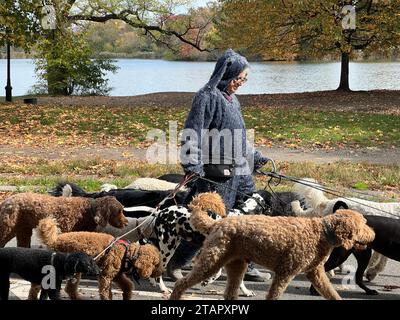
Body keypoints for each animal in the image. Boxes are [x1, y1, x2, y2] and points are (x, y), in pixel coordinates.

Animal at [170, 192, 376, 300]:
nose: (373, 235)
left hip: (236, 265)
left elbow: (331, 293)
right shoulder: (285, 273)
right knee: (182, 283)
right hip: (211, 262)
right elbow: (273, 295)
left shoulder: (315, 273)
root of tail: (217, 223)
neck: (322, 232)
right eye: (363, 225)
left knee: (229, 293)